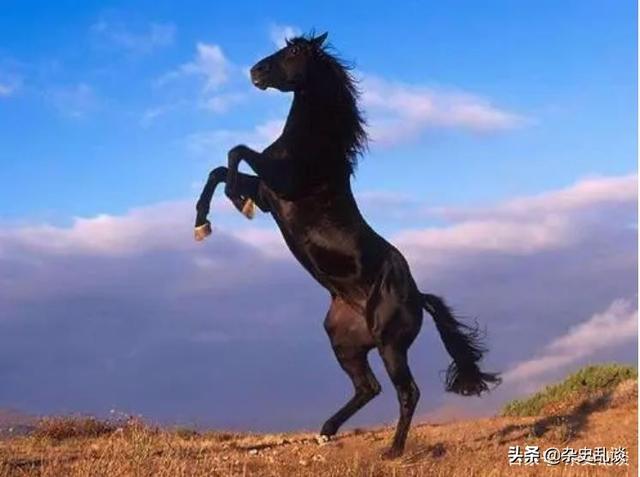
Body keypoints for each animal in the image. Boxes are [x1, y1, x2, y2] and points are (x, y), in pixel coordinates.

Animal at [194, 32, 500, 459]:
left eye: (294, 52)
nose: (255, 71)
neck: (312, 145)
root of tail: (418, 296)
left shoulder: (282, 182)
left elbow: (236, 153)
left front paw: (234, 202)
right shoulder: (271, 195)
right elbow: (219, 170)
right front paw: (203, 222)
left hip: (390, 346)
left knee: (407, 391)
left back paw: (393, 450)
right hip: (344, 342)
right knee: (368, 387)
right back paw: (326, 431)